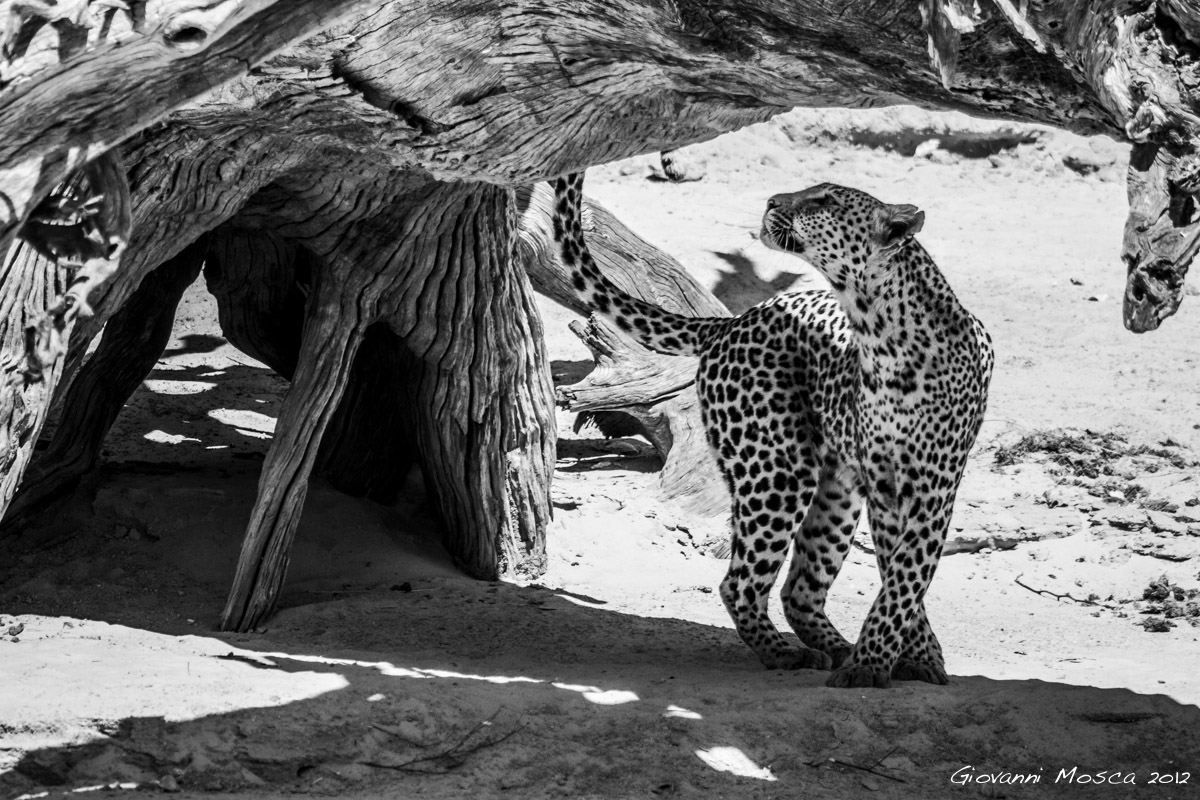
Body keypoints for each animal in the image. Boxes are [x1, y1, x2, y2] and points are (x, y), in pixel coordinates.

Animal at [551, 172, 993, 688]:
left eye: (825, 199)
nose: (772, 201)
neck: (881, 334)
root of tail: (736, 320)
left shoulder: (929, 487)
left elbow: (906, 575)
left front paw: (898, 658)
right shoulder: (886, 485)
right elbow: (901, 574)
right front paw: (879, 662)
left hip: (834, 488)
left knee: (799, 590)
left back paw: (836, 648)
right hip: (779, 471)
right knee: (740, 582)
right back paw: (785, 653)